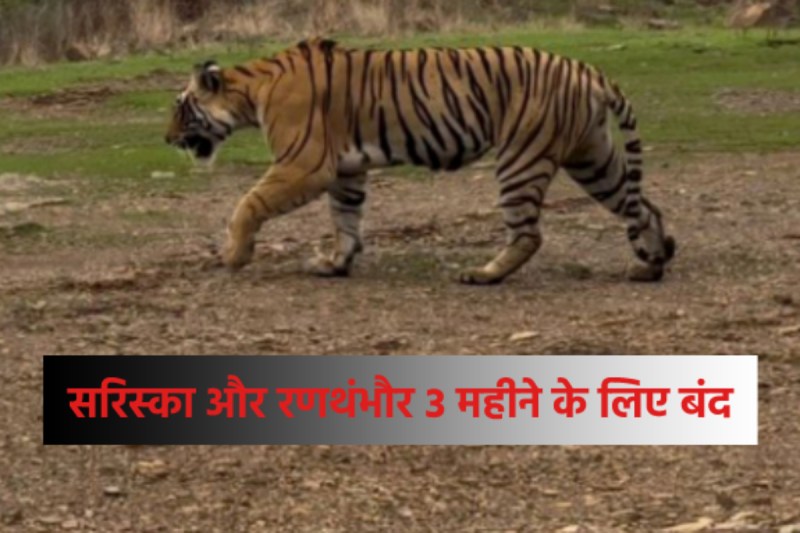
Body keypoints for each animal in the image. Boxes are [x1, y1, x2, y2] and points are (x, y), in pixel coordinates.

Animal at [165, 38, 675, 285]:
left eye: (181, 107)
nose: (167, 139)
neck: (251, 91)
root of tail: (586, 69)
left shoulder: (305, 164)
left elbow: (247, 204)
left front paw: (234, 255)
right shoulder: (346, 170)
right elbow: (345, 219)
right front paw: (336, 264)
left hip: (521, 159)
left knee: (529, 234)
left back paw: (483, 275)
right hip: (592, 157)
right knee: (644, 207)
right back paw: (652, 264)